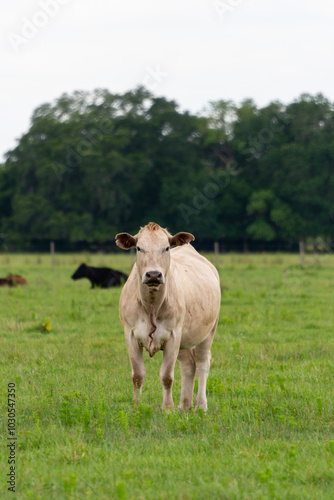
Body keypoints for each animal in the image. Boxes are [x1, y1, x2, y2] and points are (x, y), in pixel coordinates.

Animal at [116, 223, 220, 410]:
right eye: (139, 248)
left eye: (166, 248)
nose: (153, 274)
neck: (151, 305)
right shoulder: (130, 335)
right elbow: (137, 376)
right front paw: (137, 407)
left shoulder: (173, 336)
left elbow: (167, 376)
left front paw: (168, 409)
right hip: (185, 340)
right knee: (188, 366)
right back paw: (184, 405)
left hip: (208, 332)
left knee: (202, 364)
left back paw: (200, 405)